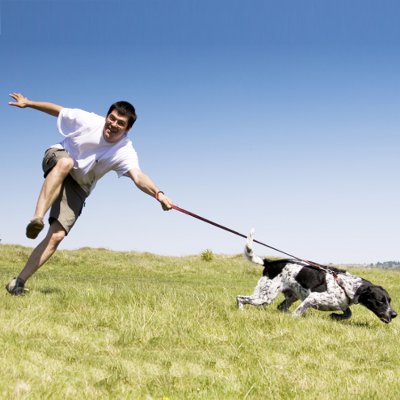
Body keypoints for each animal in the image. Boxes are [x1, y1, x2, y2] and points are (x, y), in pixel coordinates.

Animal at [238, 230, 396, 324]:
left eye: (389, 300)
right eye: (380, 301)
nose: (394, 314)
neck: (345, 285)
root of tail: (270, 262)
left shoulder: (342, 304)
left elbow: (348, 313)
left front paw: (335, 316)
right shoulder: (312, 298)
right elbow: (298, 312)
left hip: (290, 296)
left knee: (280, 307)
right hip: (265, 297)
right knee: (240, 298)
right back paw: (240, 311)